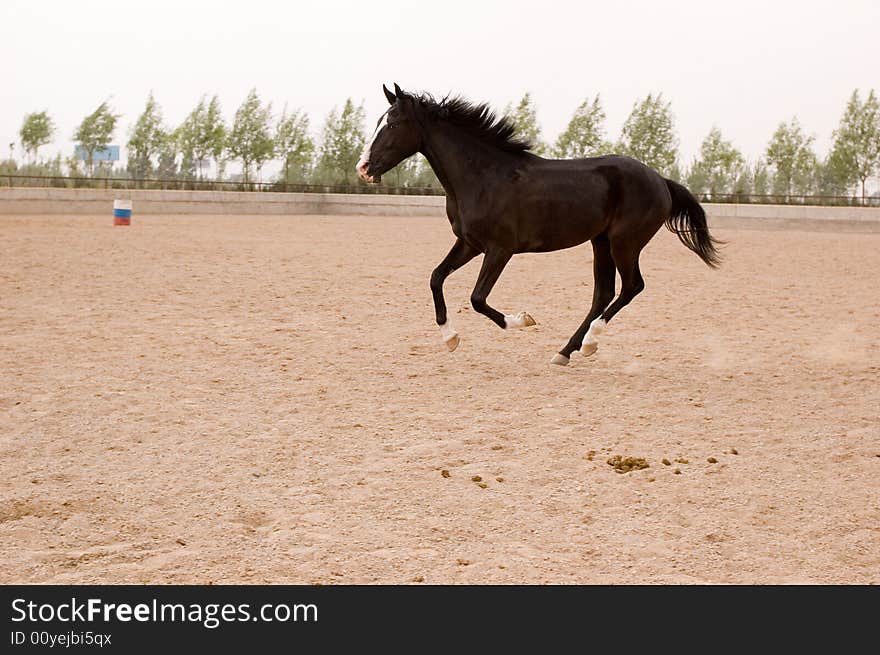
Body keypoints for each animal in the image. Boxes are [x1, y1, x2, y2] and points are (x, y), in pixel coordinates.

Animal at [354, 84, 720, 366]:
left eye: (392, 125)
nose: (363, 167)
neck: (484, 176)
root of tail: (661, 181)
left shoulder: (500, 249)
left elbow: (477, 298)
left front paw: (523, 321)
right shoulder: (469, 244)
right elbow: (435, 278)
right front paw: (450, 338)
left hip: (624, 242)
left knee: (632, 287)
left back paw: (590, 343)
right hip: (600, 241)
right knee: (603, 293)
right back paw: (565, 352)